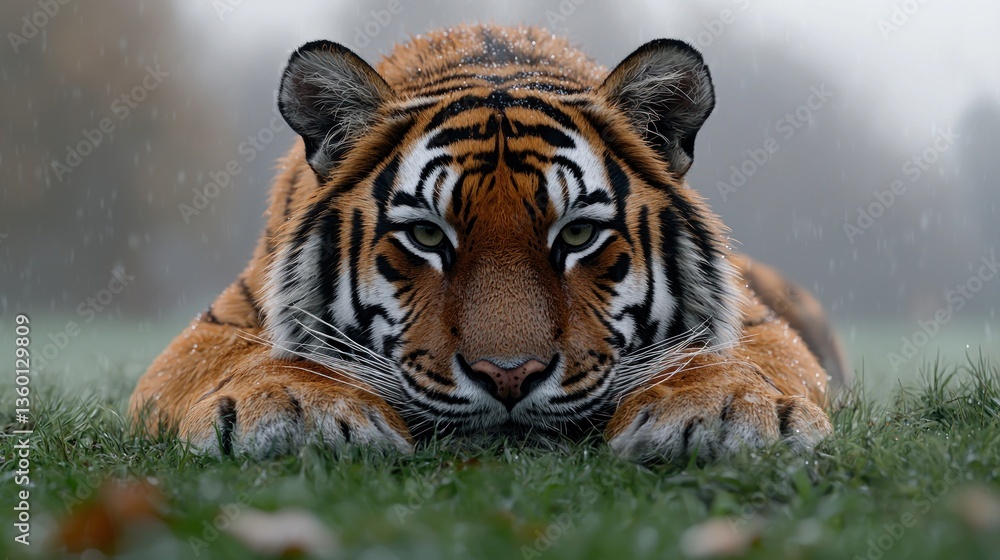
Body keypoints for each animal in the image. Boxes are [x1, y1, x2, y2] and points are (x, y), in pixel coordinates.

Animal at [130, 24, 849, 464]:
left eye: (578, 233)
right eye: (426, 234)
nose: (510, 377)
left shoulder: (761, 325)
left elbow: (728, 357)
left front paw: (725, 410)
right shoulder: (212, 329)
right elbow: (248, 360)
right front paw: (301, 406)